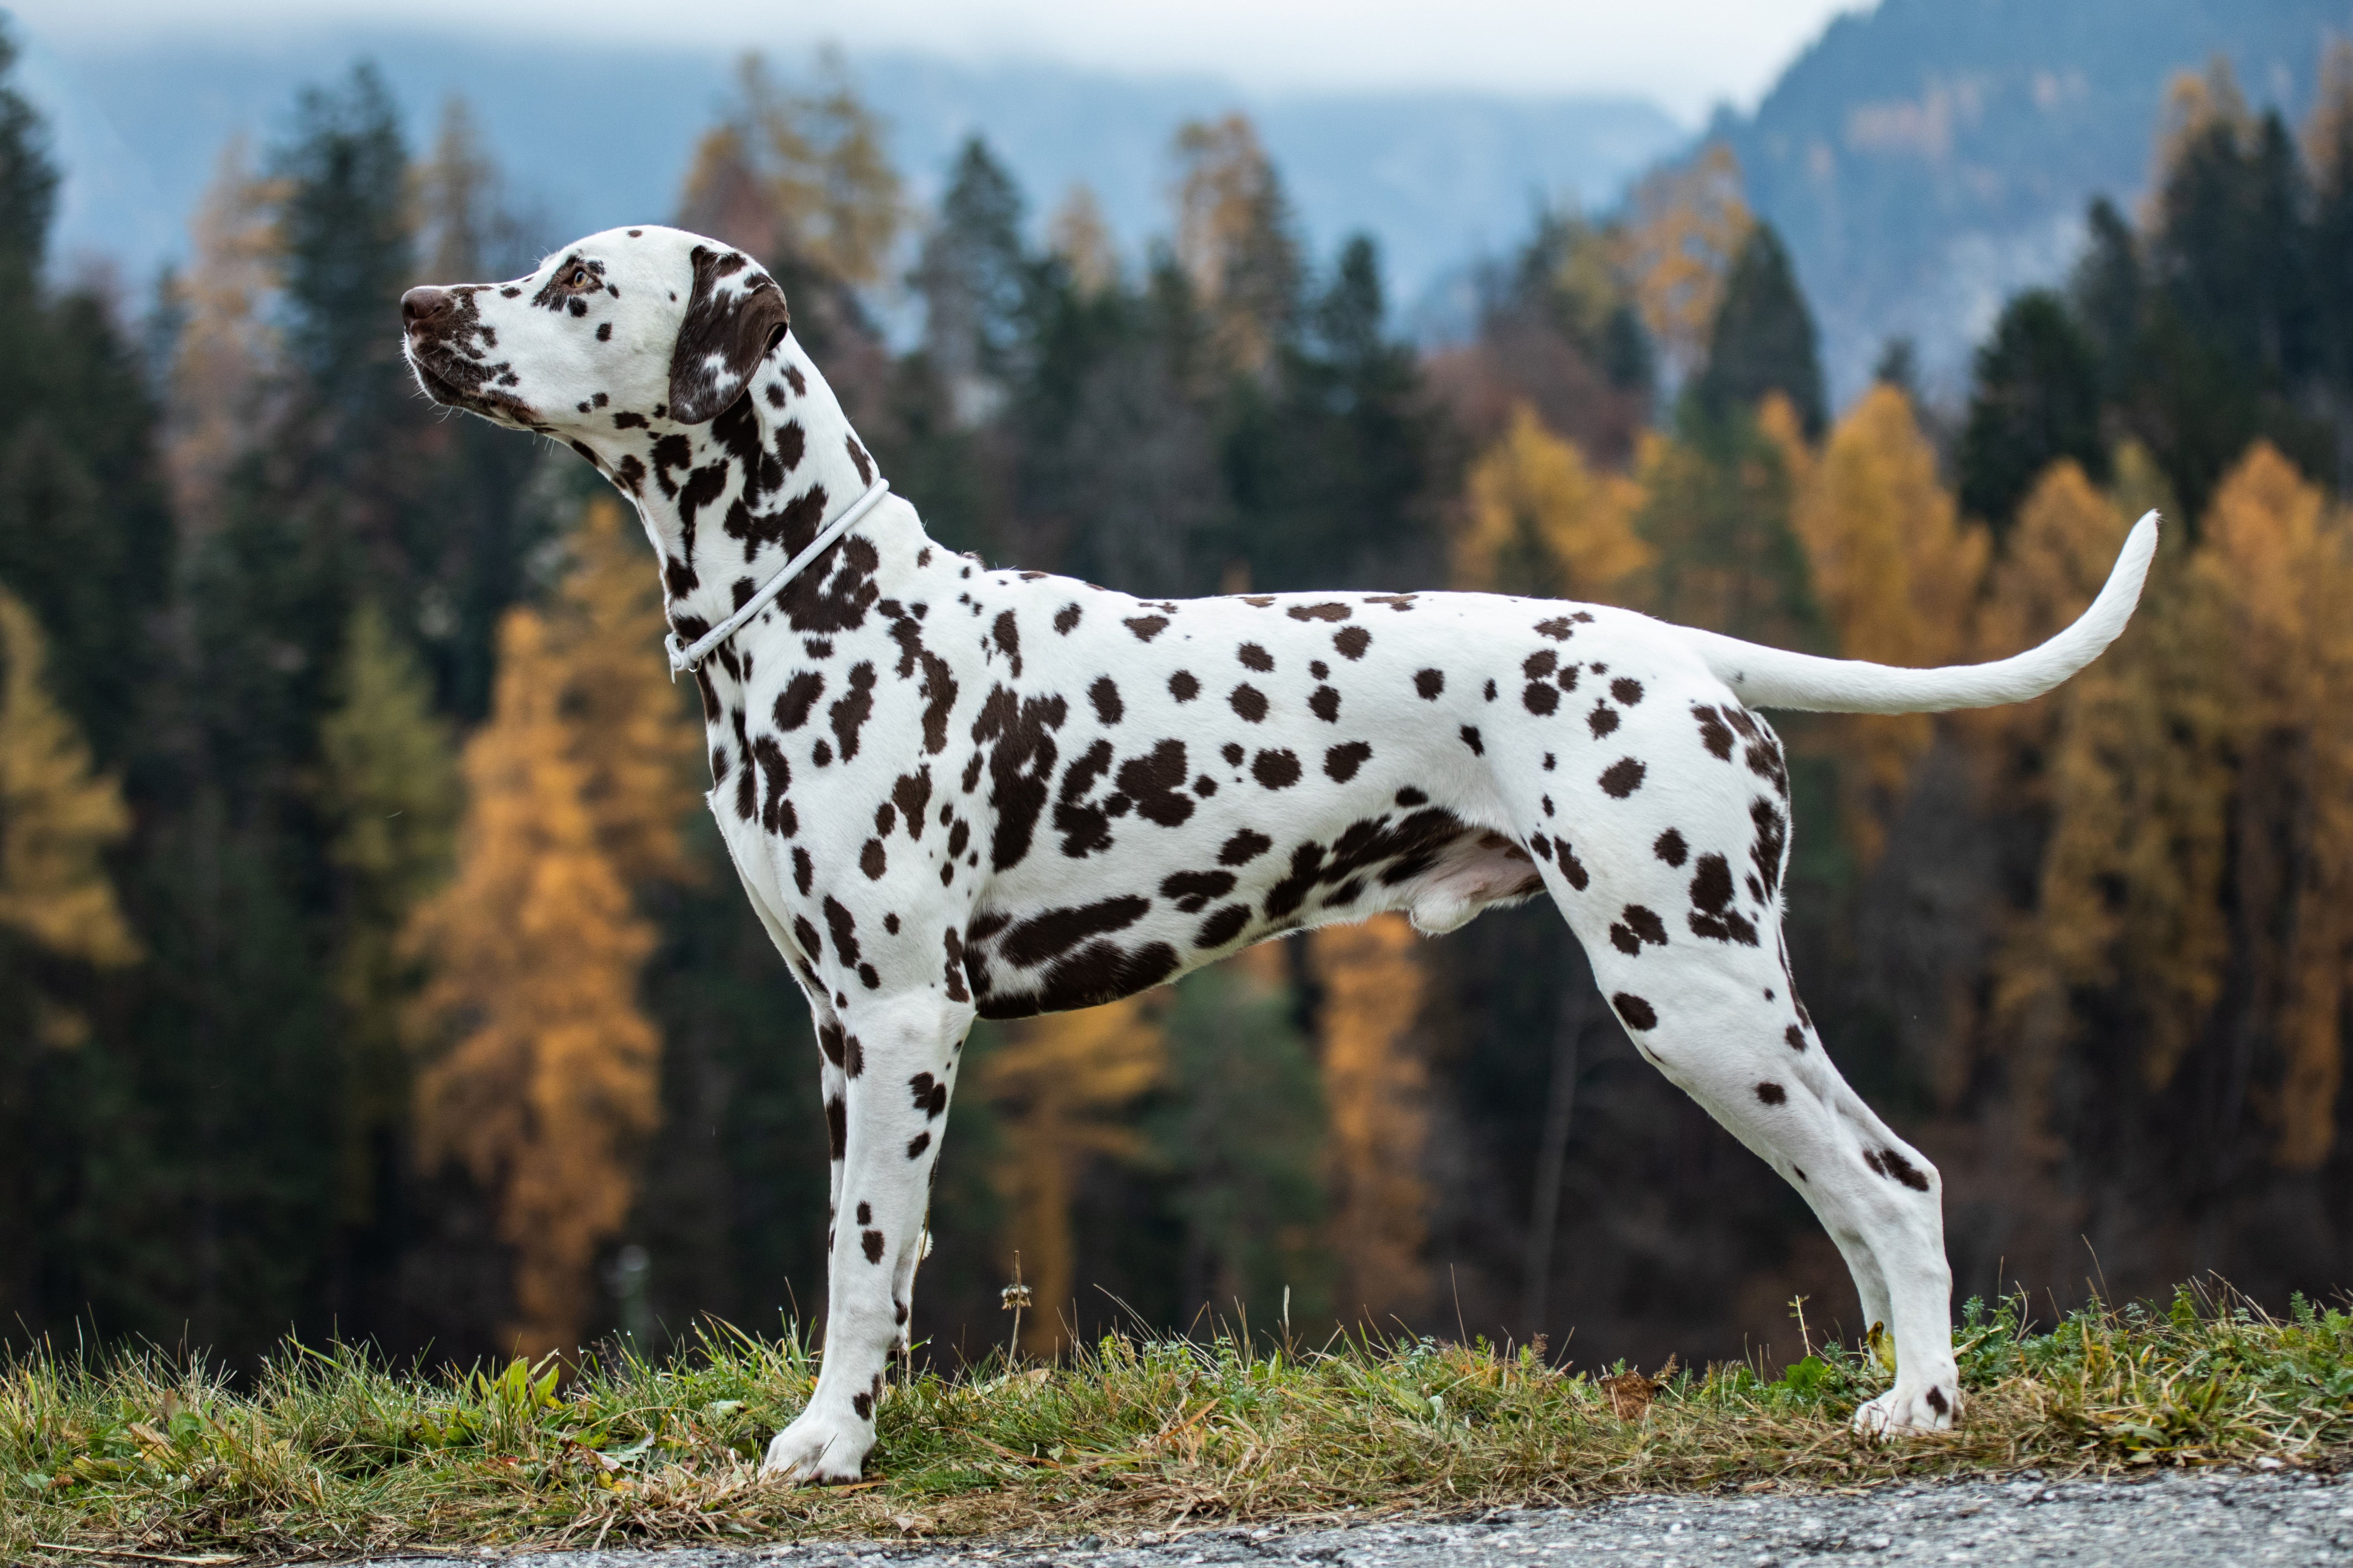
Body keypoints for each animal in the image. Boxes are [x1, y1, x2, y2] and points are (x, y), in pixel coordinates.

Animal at [400, 226, 2155, 1476]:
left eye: (575, 281)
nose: (416, 305)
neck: (832, 609)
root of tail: (1686, 652)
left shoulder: (900, 1019)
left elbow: (858, 1262)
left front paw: (829, 1441)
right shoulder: (839, 1030)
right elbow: (872, 1261)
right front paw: (860, 1419)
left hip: (1693, 994)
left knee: (1897, 1181)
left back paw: (1924, 1401)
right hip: (1720, 1007)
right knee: (1851, 1201)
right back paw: (1891, 1379)